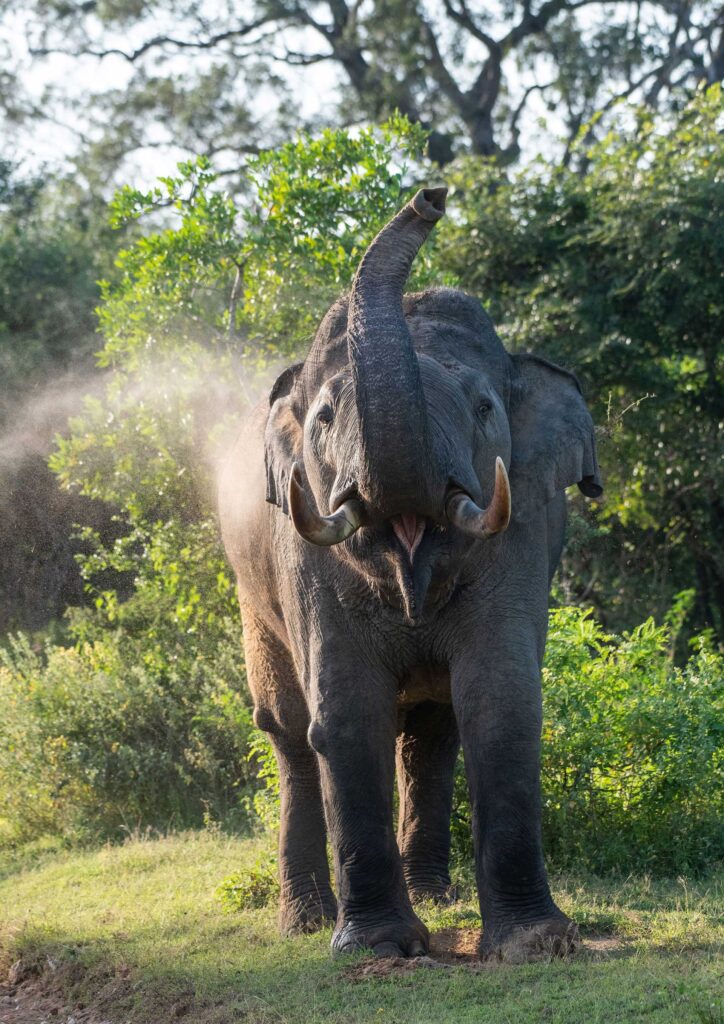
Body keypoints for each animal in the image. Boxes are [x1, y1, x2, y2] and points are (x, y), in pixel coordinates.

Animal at [218, 186, 602, 958]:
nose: (433, 195)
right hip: (252, 602)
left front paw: (536, 943)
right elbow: (345, 712)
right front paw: (378, 950)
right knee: (288, 731)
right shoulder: (306, 558)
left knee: (432, 730)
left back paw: (436, 897)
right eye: (325, 418)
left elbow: (500, 699)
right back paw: (306, 920)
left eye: (484, 408)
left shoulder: (522, 527)